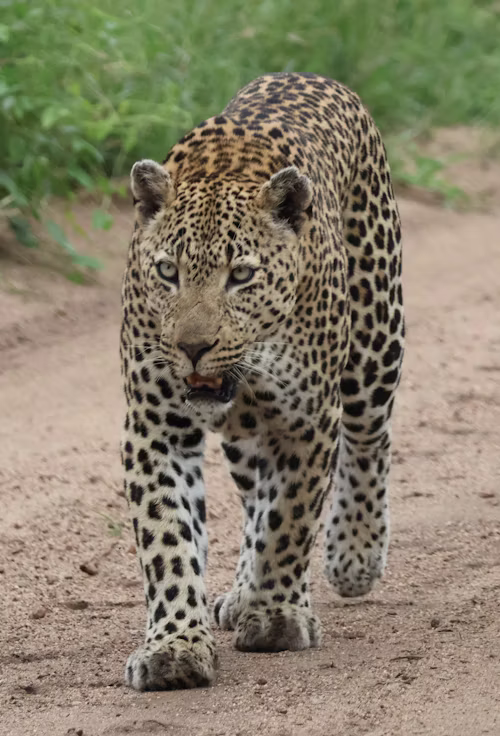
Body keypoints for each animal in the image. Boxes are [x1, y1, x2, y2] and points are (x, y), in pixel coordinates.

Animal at [120, 72, 404, 691]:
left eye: (242, 275)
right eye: (167, 271)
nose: (192, 347)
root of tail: (311, 75)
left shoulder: (307, 420)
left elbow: (290, 520)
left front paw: (276, 617)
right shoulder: (154, 427)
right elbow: (169, 537)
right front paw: (174, 646)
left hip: (376, 342)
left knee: (369, 439)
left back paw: (354, 553)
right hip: (247, 433)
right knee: (254, 497)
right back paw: (241, 592)